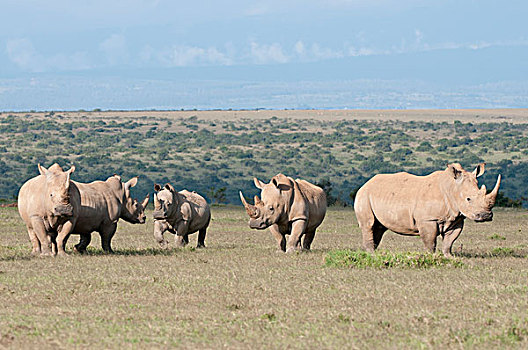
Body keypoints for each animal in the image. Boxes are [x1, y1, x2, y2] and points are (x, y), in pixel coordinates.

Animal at [354, 163, 500, 258]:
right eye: (468, 199)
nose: (486, 216)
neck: (452, 188)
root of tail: (365, 183)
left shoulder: (457, 218)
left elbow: (449, 241)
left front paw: (449, 257)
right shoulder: (427, 219)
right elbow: (430, 242)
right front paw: (430, 257)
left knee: (378, 228)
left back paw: (374, 253)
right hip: (363, 196)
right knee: (369, 224)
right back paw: (372, 255)